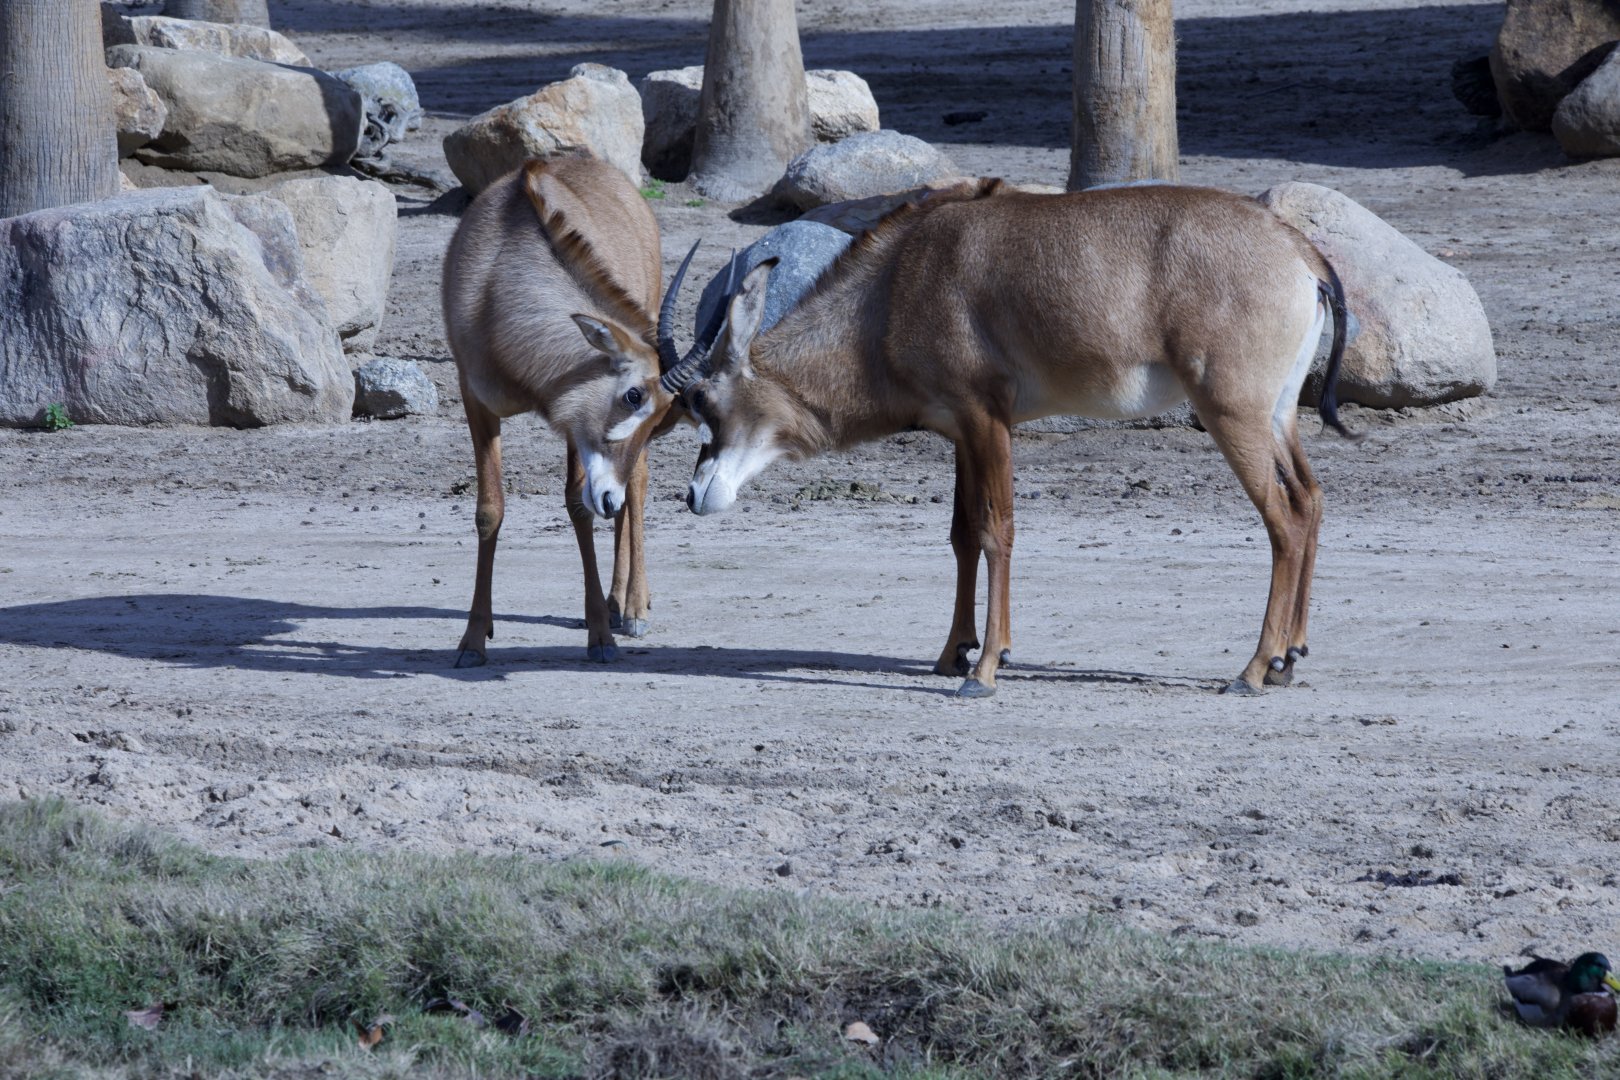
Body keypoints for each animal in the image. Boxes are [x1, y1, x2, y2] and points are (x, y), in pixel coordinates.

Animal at [441, 156, 722, 667]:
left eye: (656, 416)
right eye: (633, 396)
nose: (608, 498)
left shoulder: (573, 426)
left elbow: (578, 507)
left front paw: (601, 637)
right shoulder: (476, 400)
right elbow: (489, 510)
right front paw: (472, 639)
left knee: (637, 484)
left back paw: (630, 607)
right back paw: (613, 601)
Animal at [662, 179, 1358, 697]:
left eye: (704, 401)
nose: (695, 496)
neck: (896, 284)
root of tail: (1299, 253)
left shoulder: (985, 418)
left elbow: (997, 531)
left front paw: (986, 669)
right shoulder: (959, 431)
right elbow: (962, 534)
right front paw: (952, 652)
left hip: (1231, 412)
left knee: (1283, 517)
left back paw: (1252, 669)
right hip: (1275, 416)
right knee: (1311, 498)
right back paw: (1288, 658)